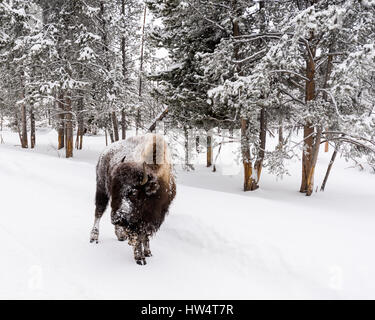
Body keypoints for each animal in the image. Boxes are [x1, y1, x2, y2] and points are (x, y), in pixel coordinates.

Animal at [89, 132, 176, 264]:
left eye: (133, 192)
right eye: (114, 190)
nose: (116, 218)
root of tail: (105, 151)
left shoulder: (153, 216)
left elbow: (145, 235)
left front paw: (148, 253)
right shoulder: (135, 220)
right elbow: (137, 236)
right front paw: (140, 258)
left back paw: (120, 236)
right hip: (101, 189)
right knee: (98, 212)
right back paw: (94, 237)